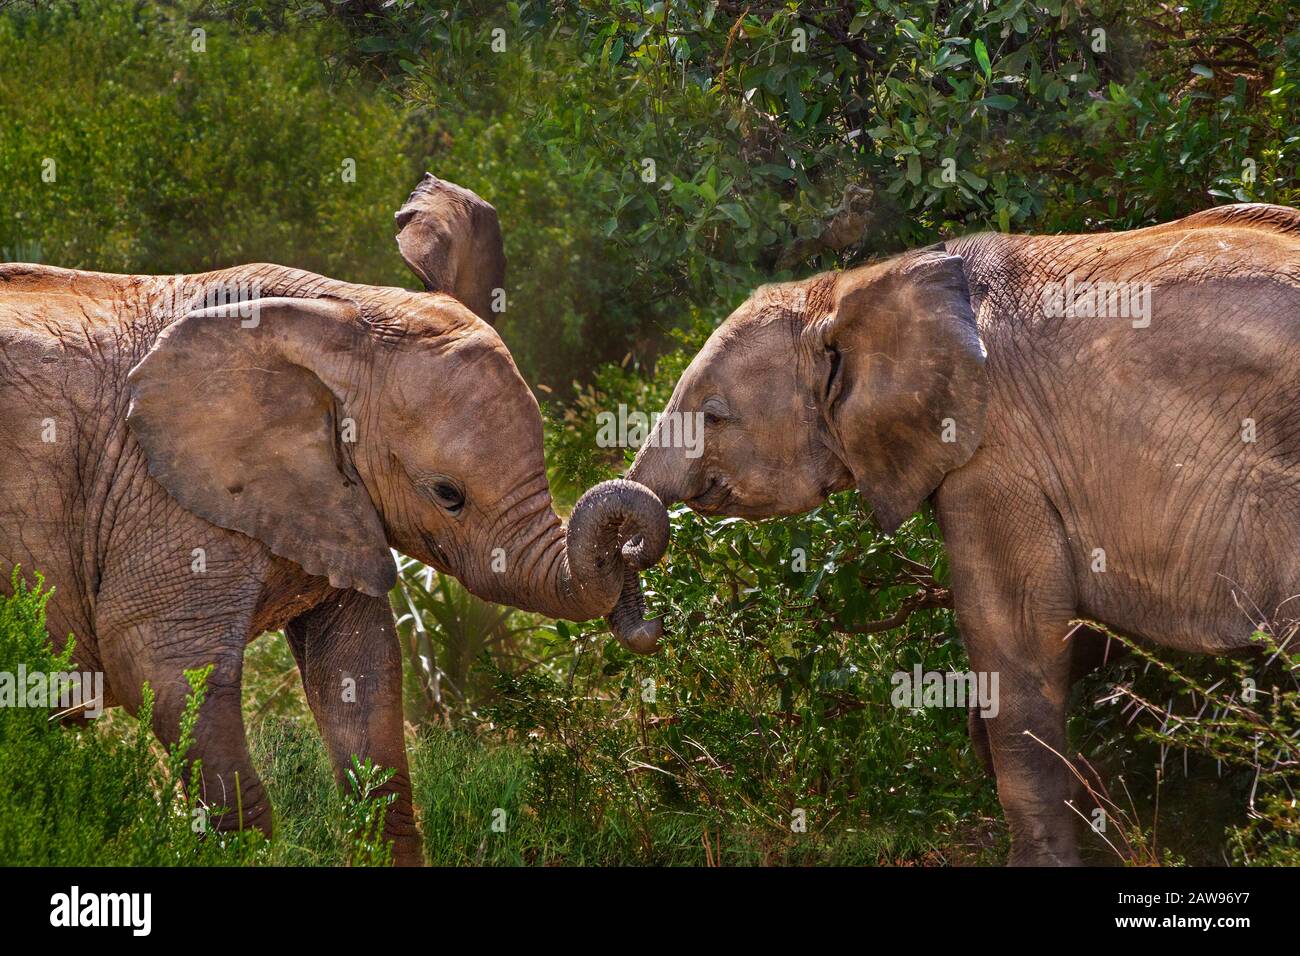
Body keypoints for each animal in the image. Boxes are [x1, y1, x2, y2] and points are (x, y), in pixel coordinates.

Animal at [0, 186, 665, 864]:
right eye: (447, 495)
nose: (649, 613)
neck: (334, 311)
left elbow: (360, 671)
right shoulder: (155, 492)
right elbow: (163, 667)